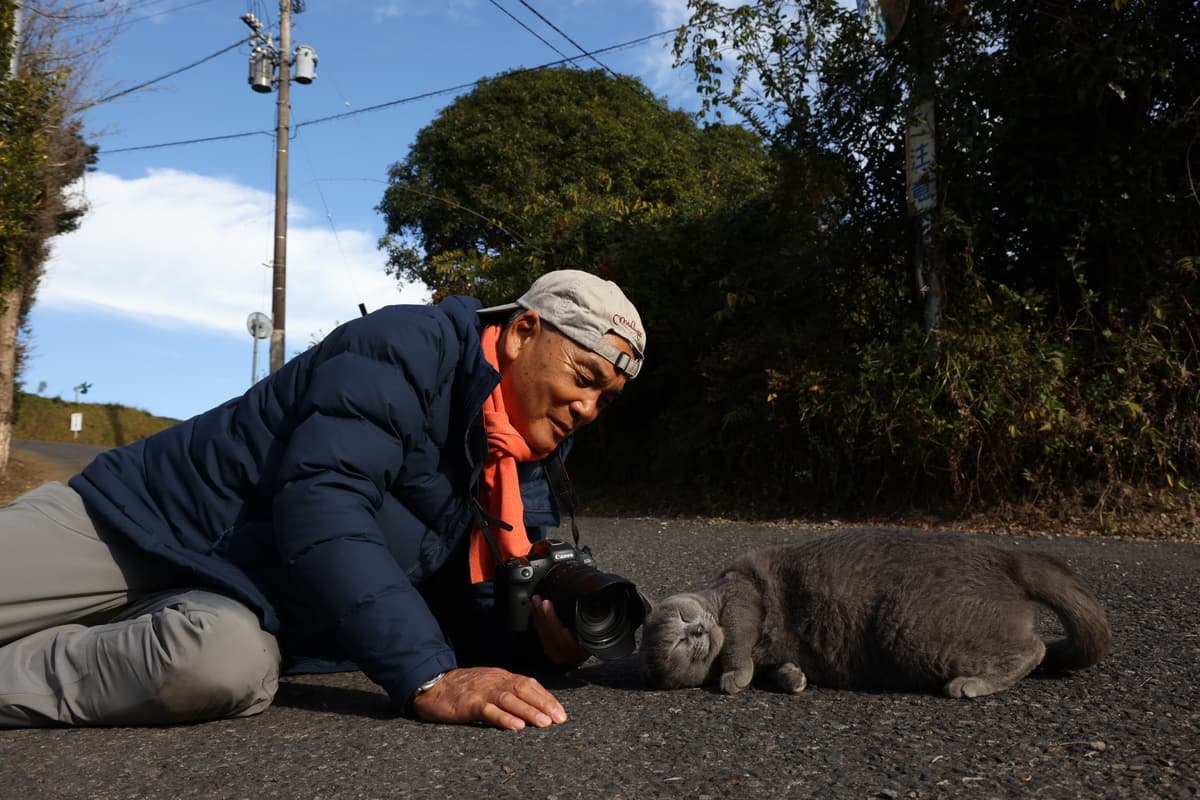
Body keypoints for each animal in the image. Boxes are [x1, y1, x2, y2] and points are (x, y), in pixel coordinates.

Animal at [643, 527, 1108, 695]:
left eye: (683, 621)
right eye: (680, 646)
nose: (698, 632)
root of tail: (1006, 557)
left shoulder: (743, 592)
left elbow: (737, 637)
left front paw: (733, 678)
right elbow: (777, 667)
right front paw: (792, 679)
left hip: (908, 627)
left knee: (1033, 649)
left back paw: (971, 683)